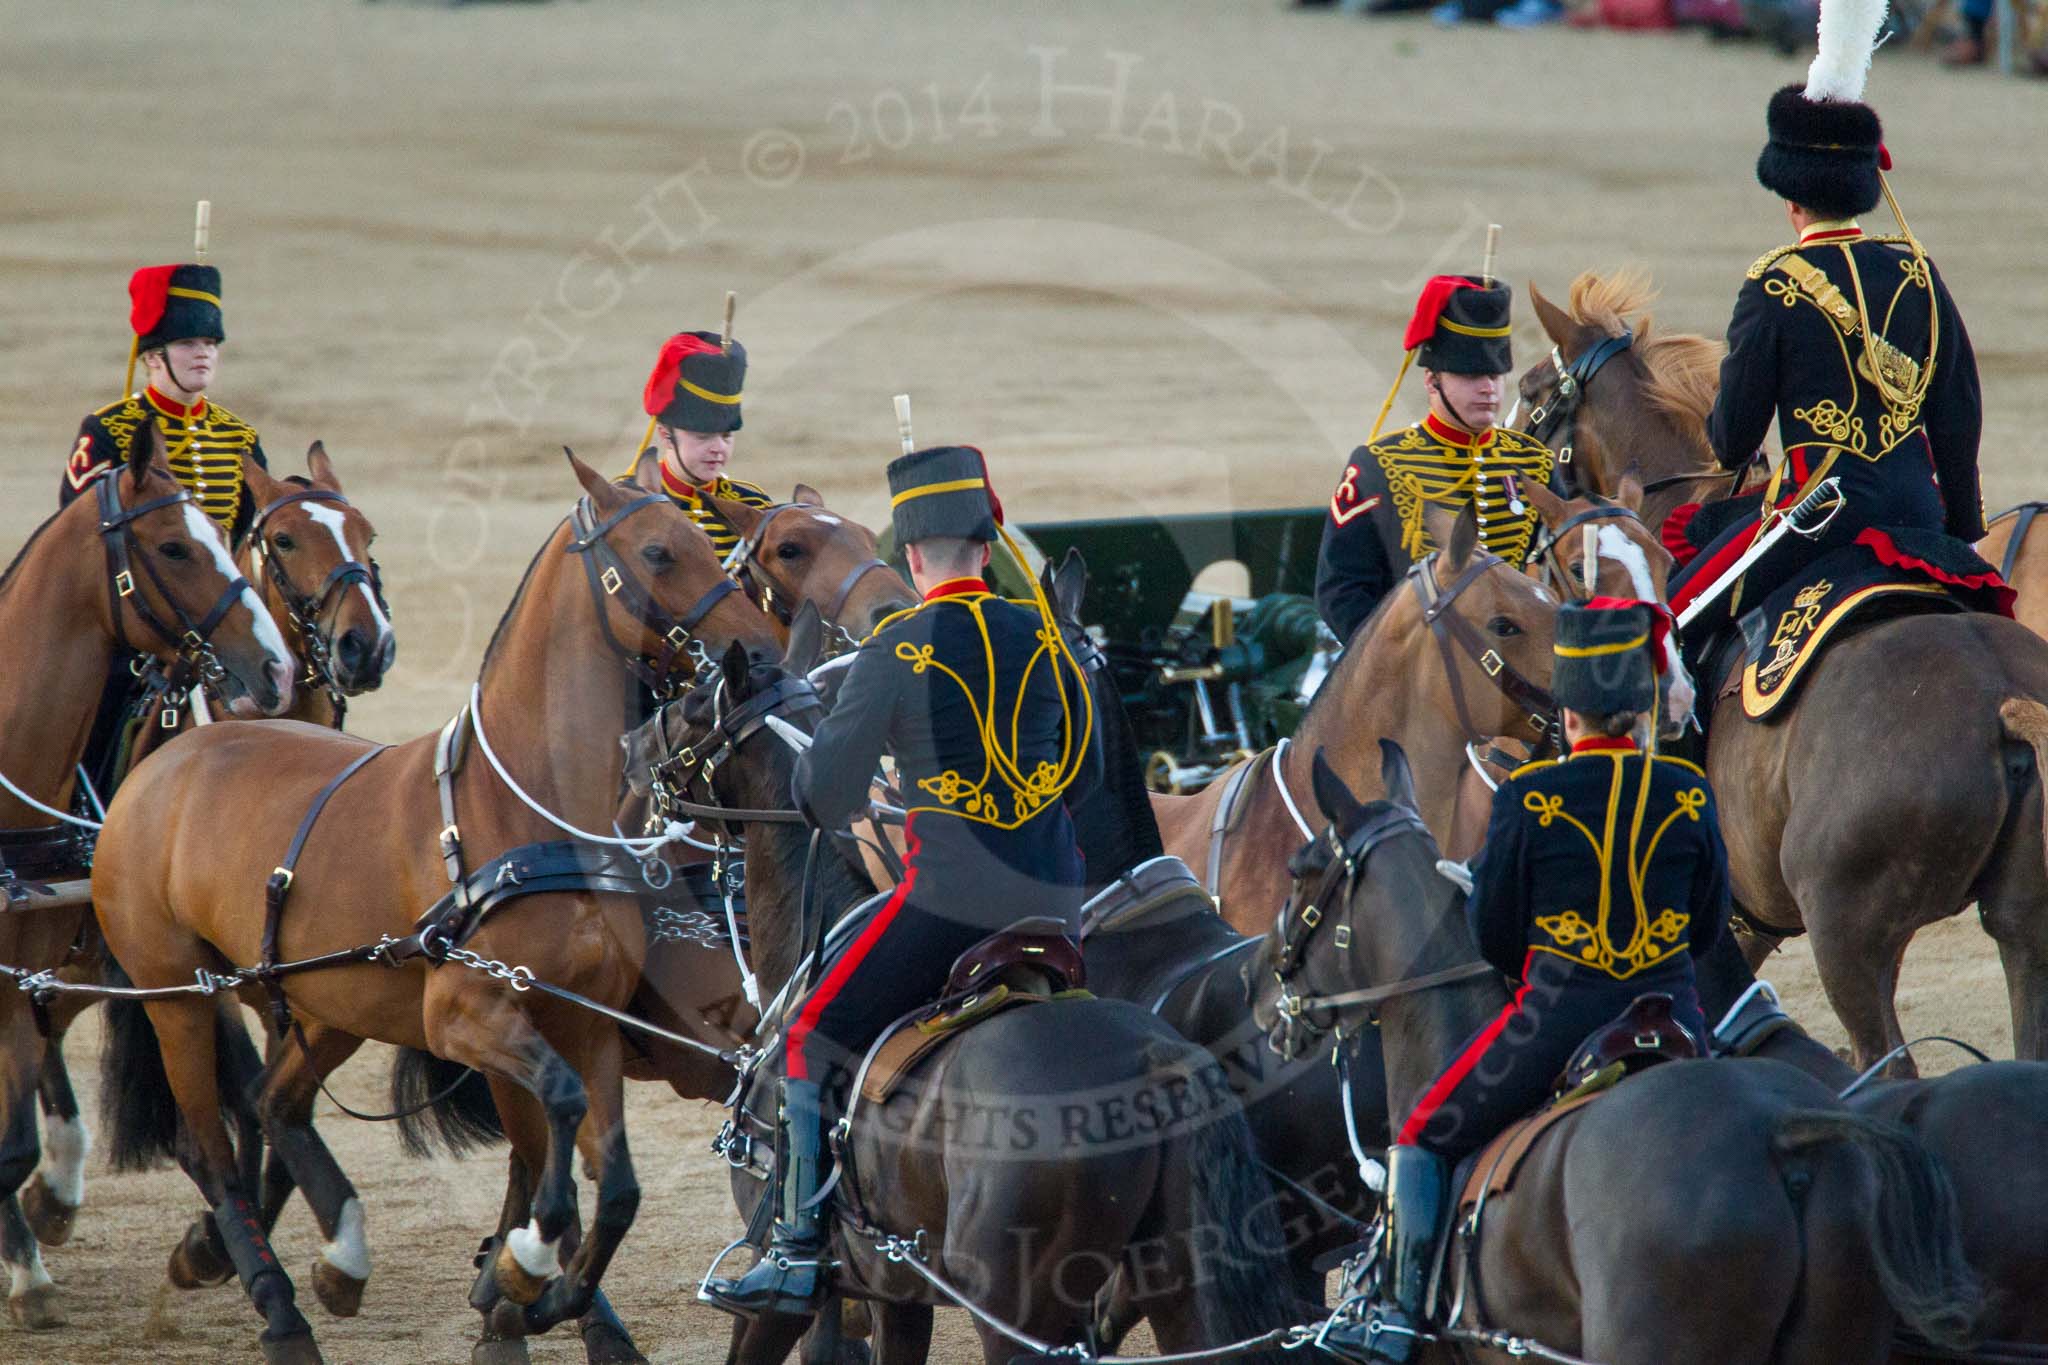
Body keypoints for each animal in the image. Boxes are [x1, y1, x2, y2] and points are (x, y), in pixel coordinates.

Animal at [88, 456, 778, 1365]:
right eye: (661, 552)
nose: (760, 649)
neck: (529, 811)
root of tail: (170, 759)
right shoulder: (468, 1013)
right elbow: (555, 1128)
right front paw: (522, 1266)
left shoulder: (585, 1022)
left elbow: (618, 1182)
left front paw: (545, 1290)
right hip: (177, 994)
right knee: (211, 1142)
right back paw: (277, 1304)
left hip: (326, 999)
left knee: (276, 1102)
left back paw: (333, 1256)